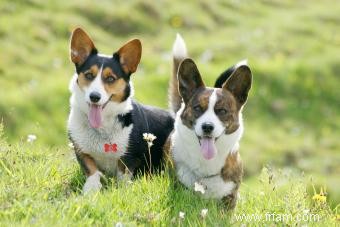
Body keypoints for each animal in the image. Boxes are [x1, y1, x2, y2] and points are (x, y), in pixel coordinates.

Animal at [67, 27, 173, 192]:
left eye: (111, 78)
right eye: (89, 75)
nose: (94, 97)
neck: (102, 127)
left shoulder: (129, 158)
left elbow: (123, 176)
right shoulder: (81, 151)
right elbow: (91, 169)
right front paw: (91, 189)